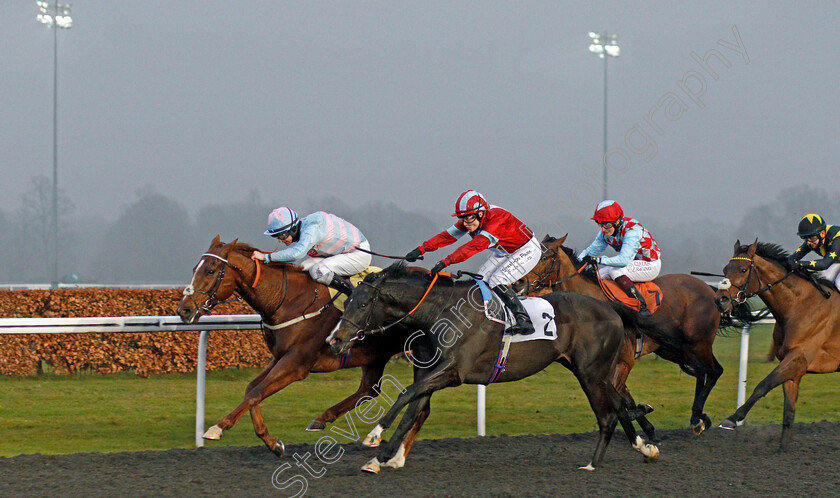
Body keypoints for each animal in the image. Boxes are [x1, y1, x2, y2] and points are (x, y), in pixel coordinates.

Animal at [177, 235, 410, 458]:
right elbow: (251, 389)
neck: (287, 300)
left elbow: (255, 393)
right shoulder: (279, 356)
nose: (183, 310)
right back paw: (321, 419)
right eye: (194, 269)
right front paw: (273, 443)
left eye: (210, 271)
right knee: (369, 389)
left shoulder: (297, 363)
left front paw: (217, 427)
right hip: (376, 355)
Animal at [326, 264, 684, 470]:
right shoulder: (430, 371)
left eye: (361, 303)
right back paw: (643, 446)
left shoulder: (453, 372)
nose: (334, 339)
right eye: (347, 300)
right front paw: (384, 458)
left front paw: (374, 438)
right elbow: (414, 408)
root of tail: (610, 307)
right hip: (590, 371)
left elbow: (405, 397)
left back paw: (594, 464)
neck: (441, 311)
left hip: (591, 372)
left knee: (609, 412)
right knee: (620, 403)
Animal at [516, 235, 724, 434]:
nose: (519, 282)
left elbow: (620, 402)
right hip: (674, 349)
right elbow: (625, 401)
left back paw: (697, 418)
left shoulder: (624, 362)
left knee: (714, 371)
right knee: (702, 371)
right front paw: (648, 433)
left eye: (544, 257)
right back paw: (698, 417)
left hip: (698, 344)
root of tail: (709, 289)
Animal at [716, 241, 840, 452]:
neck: (800, 305)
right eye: (725, 269)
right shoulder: (794, 369)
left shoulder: (798, 358)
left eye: (743, 269)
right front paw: (783, 448)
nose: (720, 300)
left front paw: (732, 419)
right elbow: (788, 411)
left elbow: (763, 385)